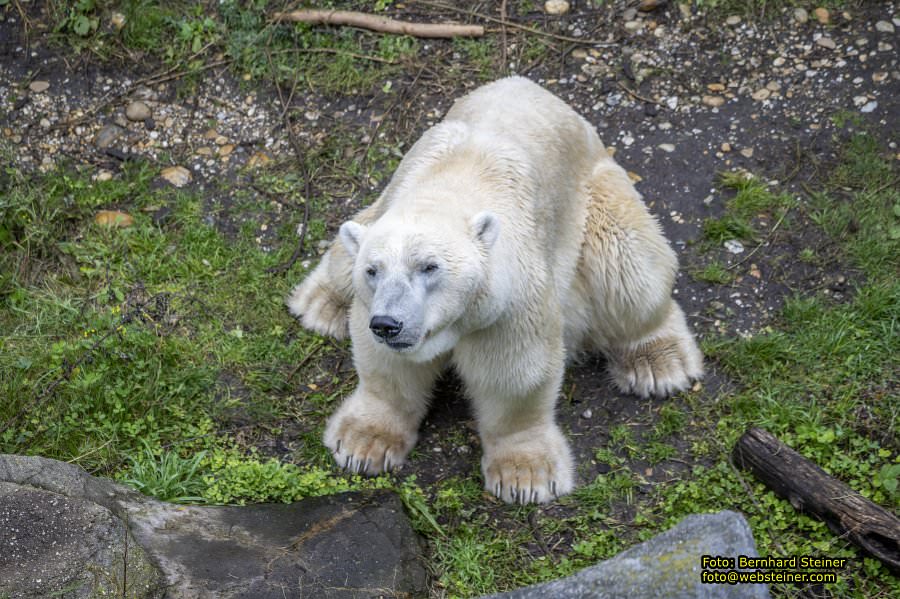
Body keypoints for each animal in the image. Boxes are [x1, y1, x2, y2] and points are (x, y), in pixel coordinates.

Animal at [288, 77, 704, 504]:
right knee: (344, 250)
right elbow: (388, 366)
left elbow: (515, 373)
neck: (453, 185)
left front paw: (526, 476)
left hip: (599, 196)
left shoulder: (510, 298)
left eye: (430, 267)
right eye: (373, 271)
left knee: (629, 270)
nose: (387, 323)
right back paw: (321, 306)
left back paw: (657, 364)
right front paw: (363, 444)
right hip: (377, 205)